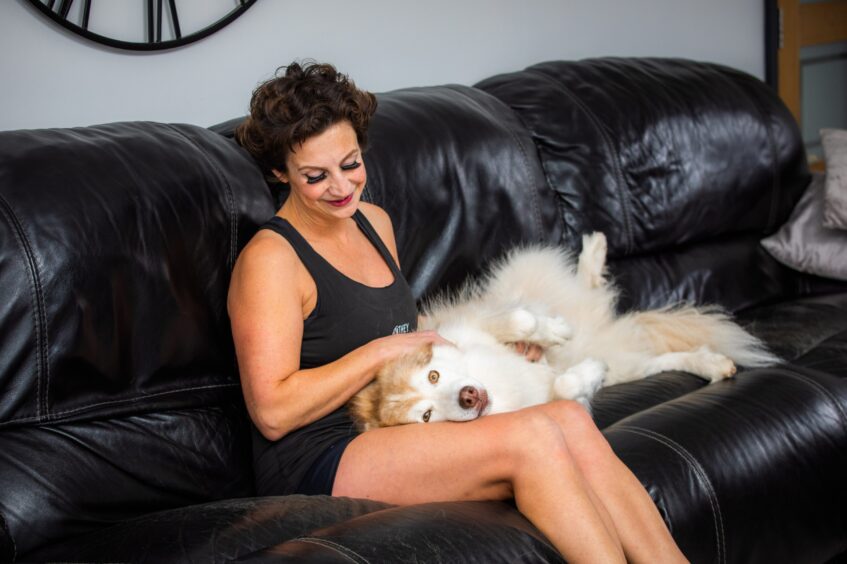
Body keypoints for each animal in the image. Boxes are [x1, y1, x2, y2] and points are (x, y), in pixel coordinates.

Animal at [348, 231, 780, 430]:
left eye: (434, 375)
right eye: (426, 416)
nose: (468, 397)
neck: (494, 383)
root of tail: (605, 324)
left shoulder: (471, 322)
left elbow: (520, 320)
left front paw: (553, 332)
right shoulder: (558, 403)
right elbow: (568, 386)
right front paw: (587, 370)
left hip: (518, 271)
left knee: (585, 288)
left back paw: (593, 252)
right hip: (628, 365)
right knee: (660, 358)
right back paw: (712, 365)